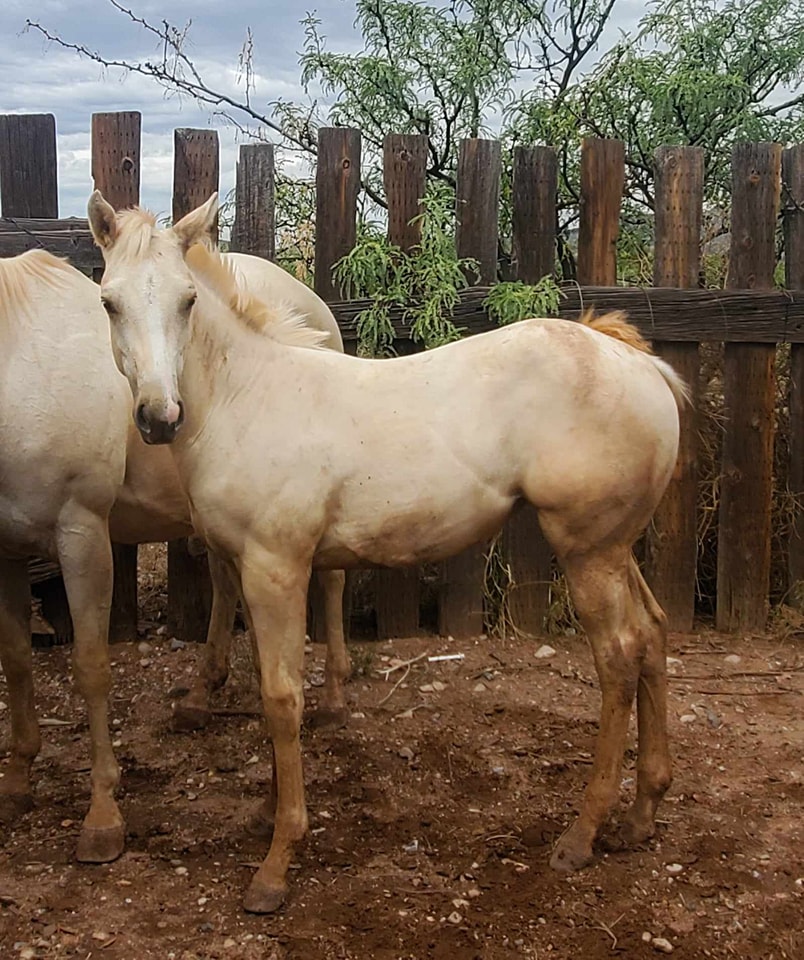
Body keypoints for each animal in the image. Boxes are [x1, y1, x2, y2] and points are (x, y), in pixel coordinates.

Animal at [0, 246, 348, 864]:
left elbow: (91, 668)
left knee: (329, 584)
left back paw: (331, 695)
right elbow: (16, 659)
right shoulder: (6, 549)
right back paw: (202, 695)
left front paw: (103, 818)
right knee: (228, 584)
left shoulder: (81, 532)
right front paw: (18, 779)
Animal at [88, 189, 687, 914]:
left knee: (619, 658)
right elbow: (269, 688)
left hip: (589, 551)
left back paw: (582, 833)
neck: (248, 398)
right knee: (652, 635)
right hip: (617, 548)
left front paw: (277, 861)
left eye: (187, 300)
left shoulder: (275, 569)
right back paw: (642, 814)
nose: (158, 417)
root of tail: (639, 361)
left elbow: (282, 697)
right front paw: (268, 813)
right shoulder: (257, 570)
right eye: (110, 301)